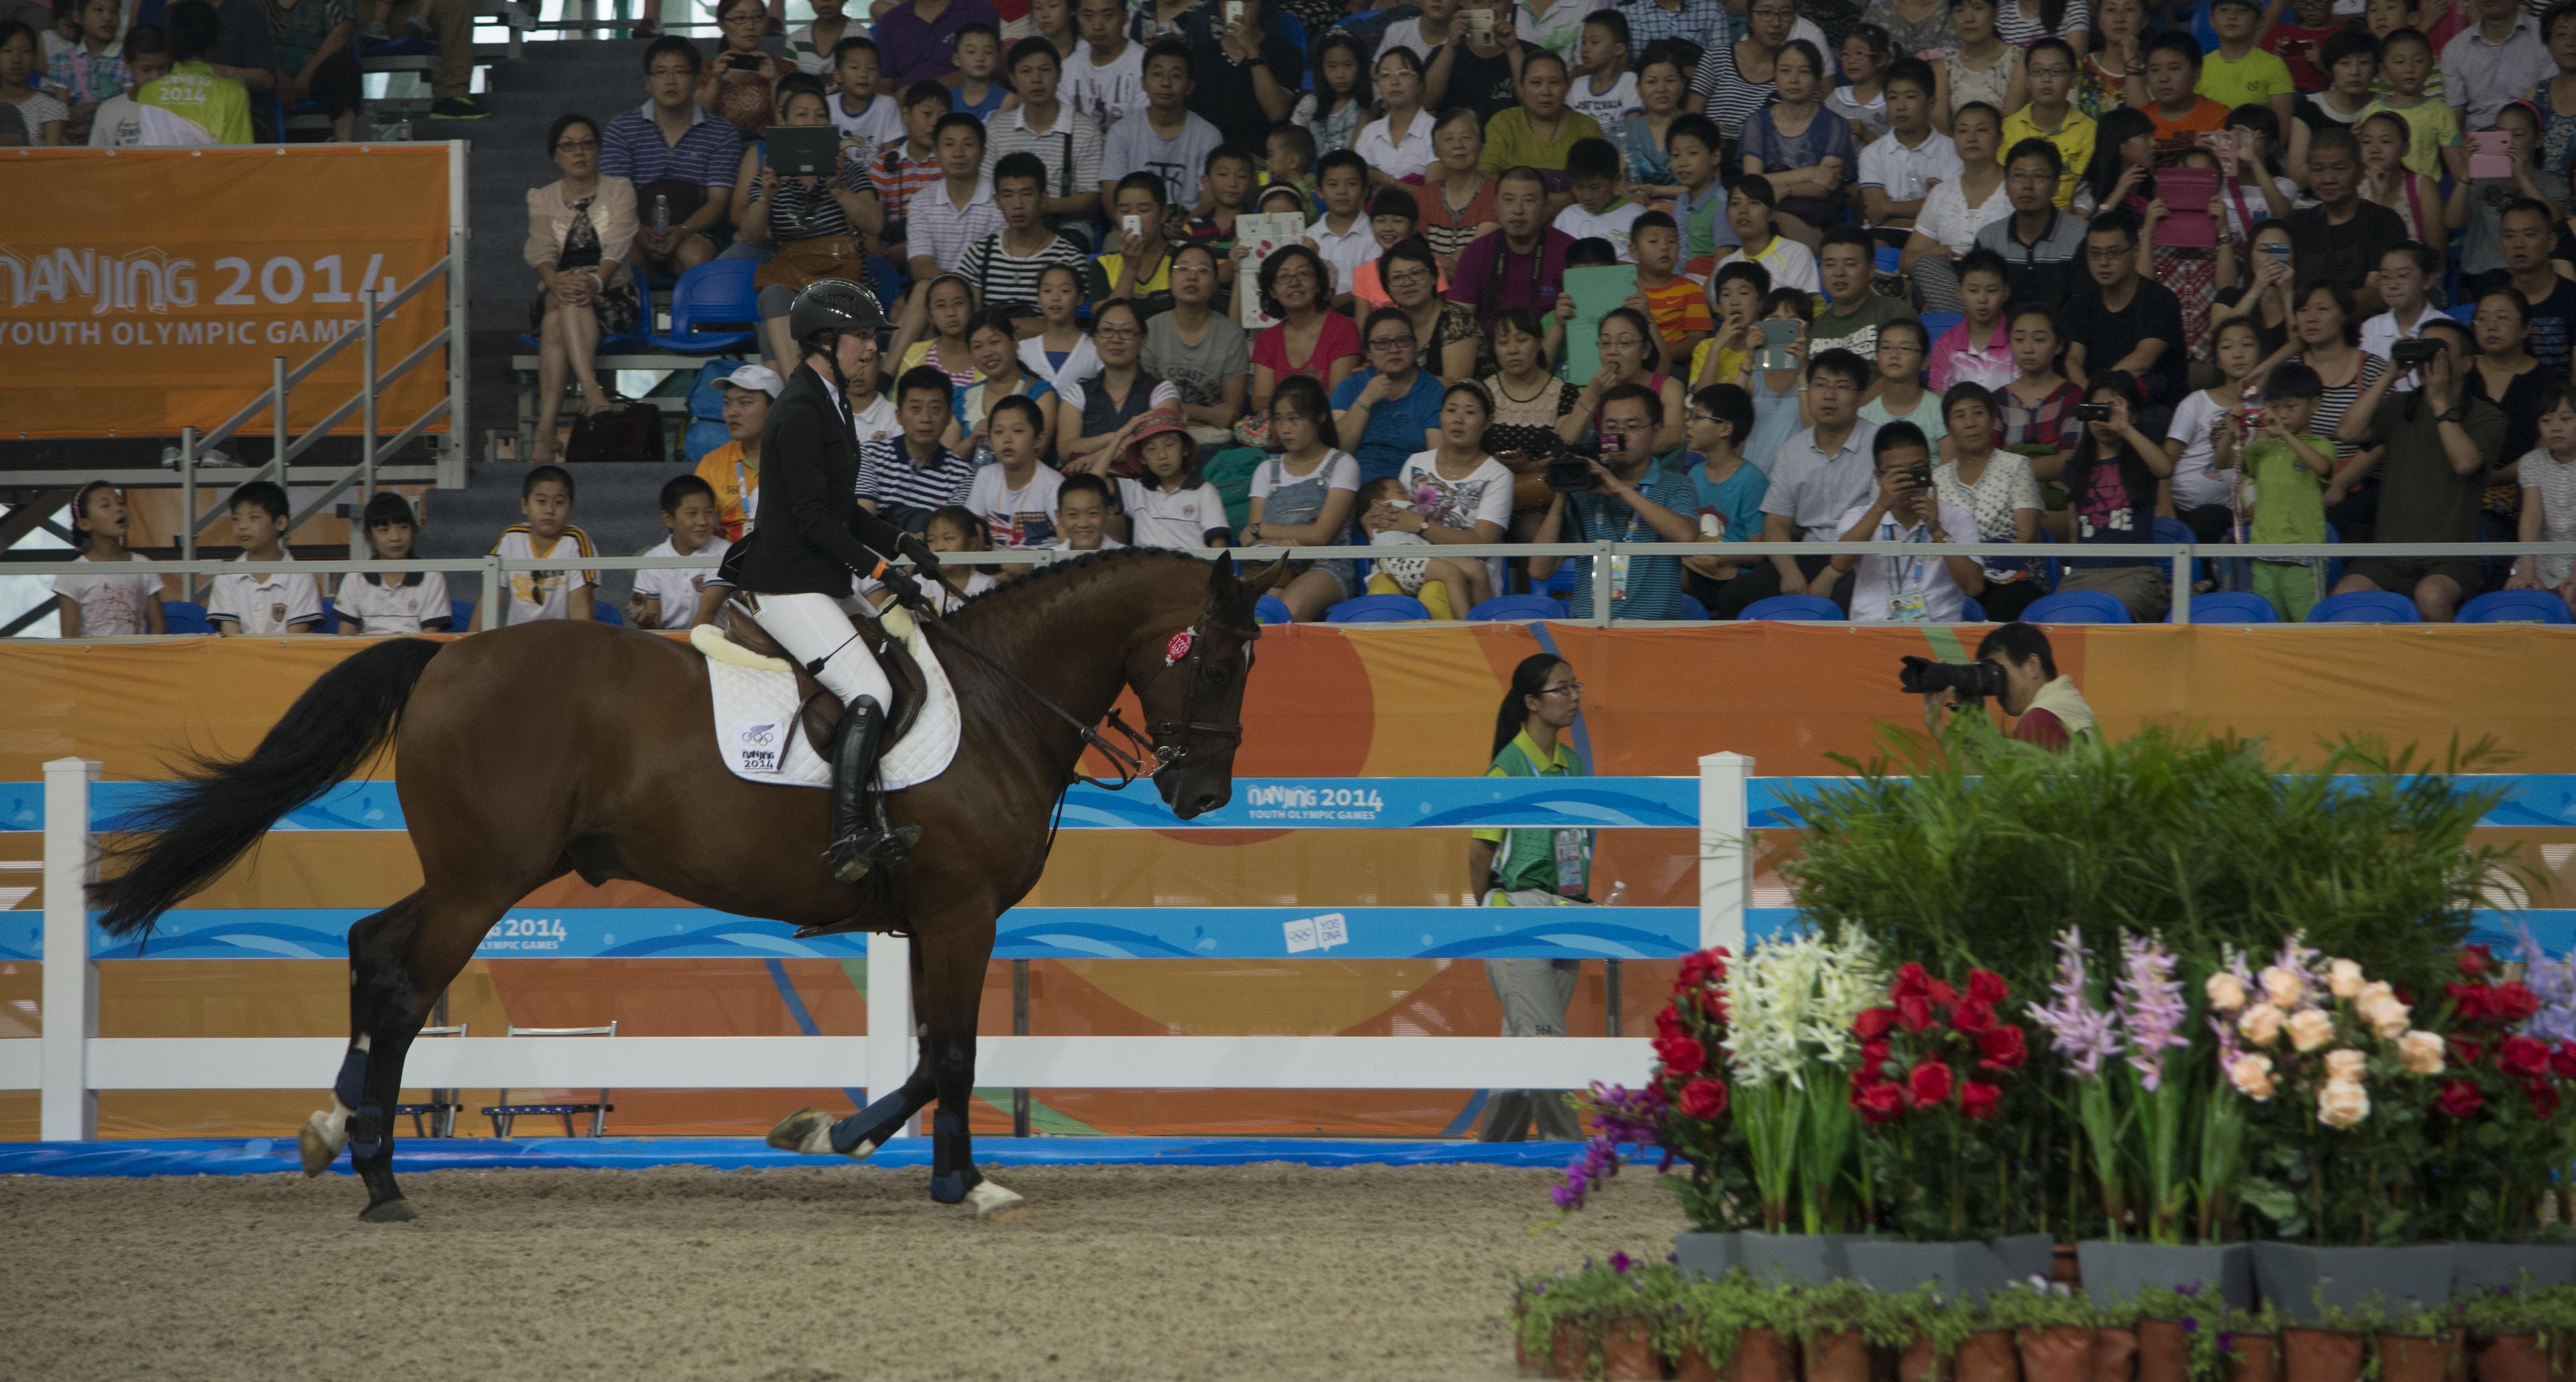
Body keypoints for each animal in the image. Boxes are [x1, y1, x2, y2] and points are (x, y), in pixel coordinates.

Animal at [95, 549, 1283, 1222]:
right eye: (1222, 659)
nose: (1203, 792)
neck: (1000, 701)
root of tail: (446, 654)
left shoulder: (930, 919)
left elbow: (924, 1060)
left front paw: (833, 1136)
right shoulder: (960, 913)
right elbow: (953, 1056)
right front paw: (961, 1181)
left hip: (477, 872)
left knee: (367, 944)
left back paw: (336, 1131)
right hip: (484, 880)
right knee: (398, 981)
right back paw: (382, 1181)